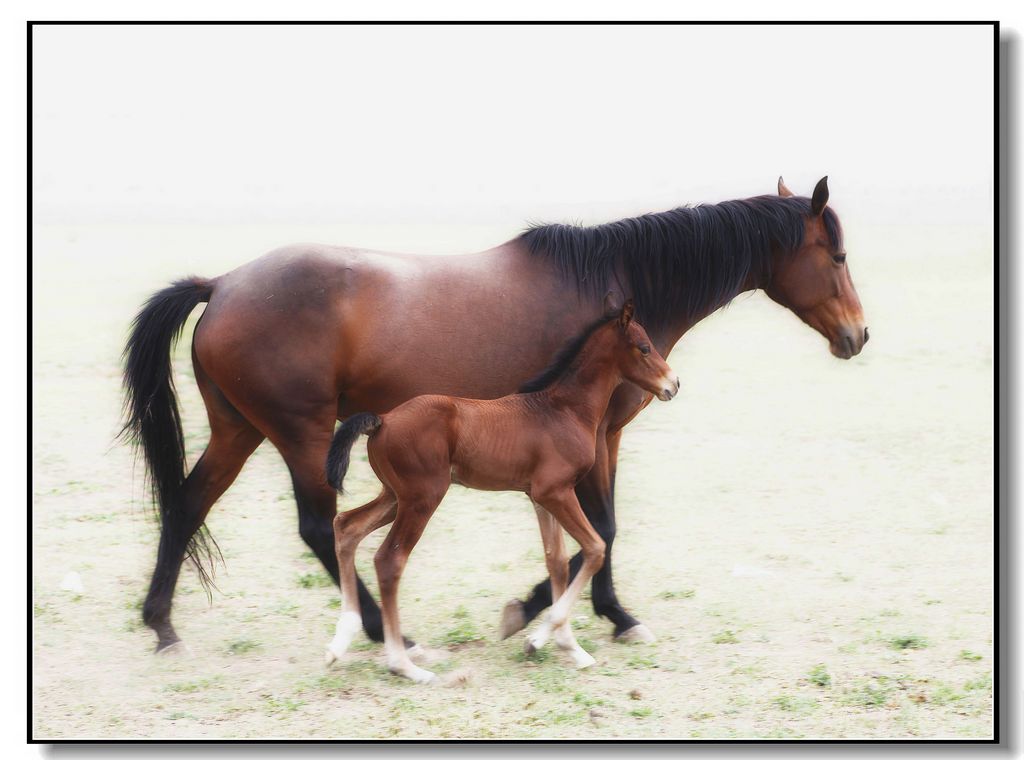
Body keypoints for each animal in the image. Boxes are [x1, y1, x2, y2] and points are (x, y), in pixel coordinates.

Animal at [323, 303, 679, 684]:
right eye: (644, 347)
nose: (673, 384)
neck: (563, 409)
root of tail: (383, 420)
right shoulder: (556, 492)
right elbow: (595, 548)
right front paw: (538, 639)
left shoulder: (541, 498)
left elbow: (556, 562)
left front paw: (570, 648)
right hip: (422, 499)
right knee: (389, 560)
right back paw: (404, 665)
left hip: (395, 496)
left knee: (346, 526)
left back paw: (340, 642)